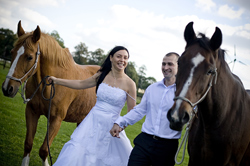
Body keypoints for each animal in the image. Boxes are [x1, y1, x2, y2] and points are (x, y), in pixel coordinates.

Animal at [2, 21, 99, 166]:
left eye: (29, 57)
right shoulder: (31, 112)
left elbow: (43, 150)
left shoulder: (56, 119)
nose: (7, 88)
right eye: (12, 52)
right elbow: (28, 144)